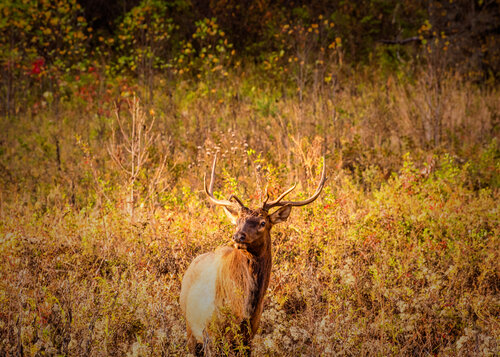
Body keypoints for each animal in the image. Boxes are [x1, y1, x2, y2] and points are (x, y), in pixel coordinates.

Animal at [181, 154, 328, 354]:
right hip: (191, 328)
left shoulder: (250, 334)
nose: (238, 236)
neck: (244, 307)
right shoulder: (211, 332)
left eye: (263, 223)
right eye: (237, 221)